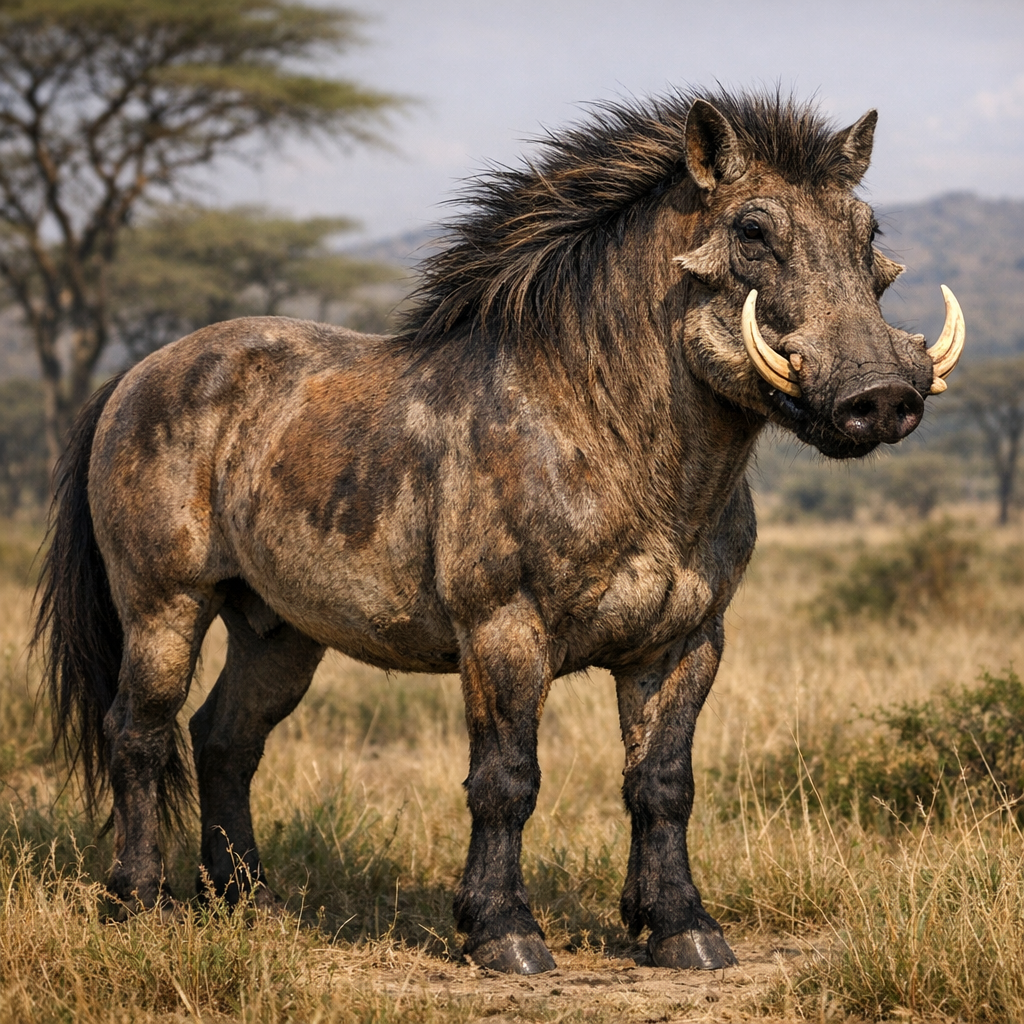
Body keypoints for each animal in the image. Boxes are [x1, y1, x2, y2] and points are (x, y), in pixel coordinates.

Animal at [35, 89, 964, 975]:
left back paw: (249, 903)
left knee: (224, 740)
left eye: (867, 230)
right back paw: (138, 902)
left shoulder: (687, 641)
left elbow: (663, 782)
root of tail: (138, 371)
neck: (619, 445)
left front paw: (682, 931)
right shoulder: (503, 630)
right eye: (753, 229)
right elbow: (507, 779)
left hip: (278, 632)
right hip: (164, 606)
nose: (880, 395)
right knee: (139, 733)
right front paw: (503, 935)